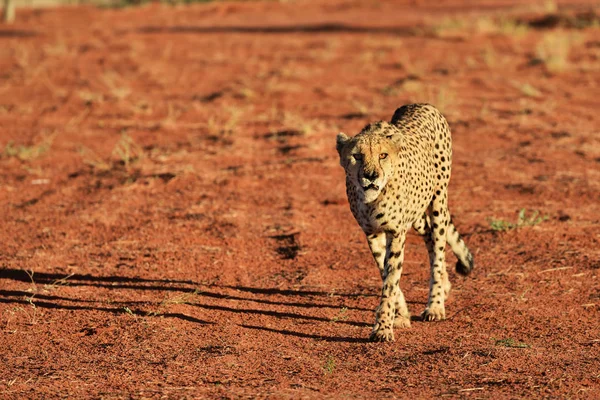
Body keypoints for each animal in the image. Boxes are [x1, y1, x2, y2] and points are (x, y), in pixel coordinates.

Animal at [338, 103, 474, 340]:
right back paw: (445, 285)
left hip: (438, 201)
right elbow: (385, 273)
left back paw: (435, 305)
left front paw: (383, 328)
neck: (371, 199)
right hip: (417, 213)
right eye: (357, 156)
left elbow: (391, 279)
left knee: (437, 250)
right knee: (428, 234)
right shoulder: (372, 233)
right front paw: (400, 316)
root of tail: (419, 104)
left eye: (383, 155)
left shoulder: (396, 232)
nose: (371, 176)